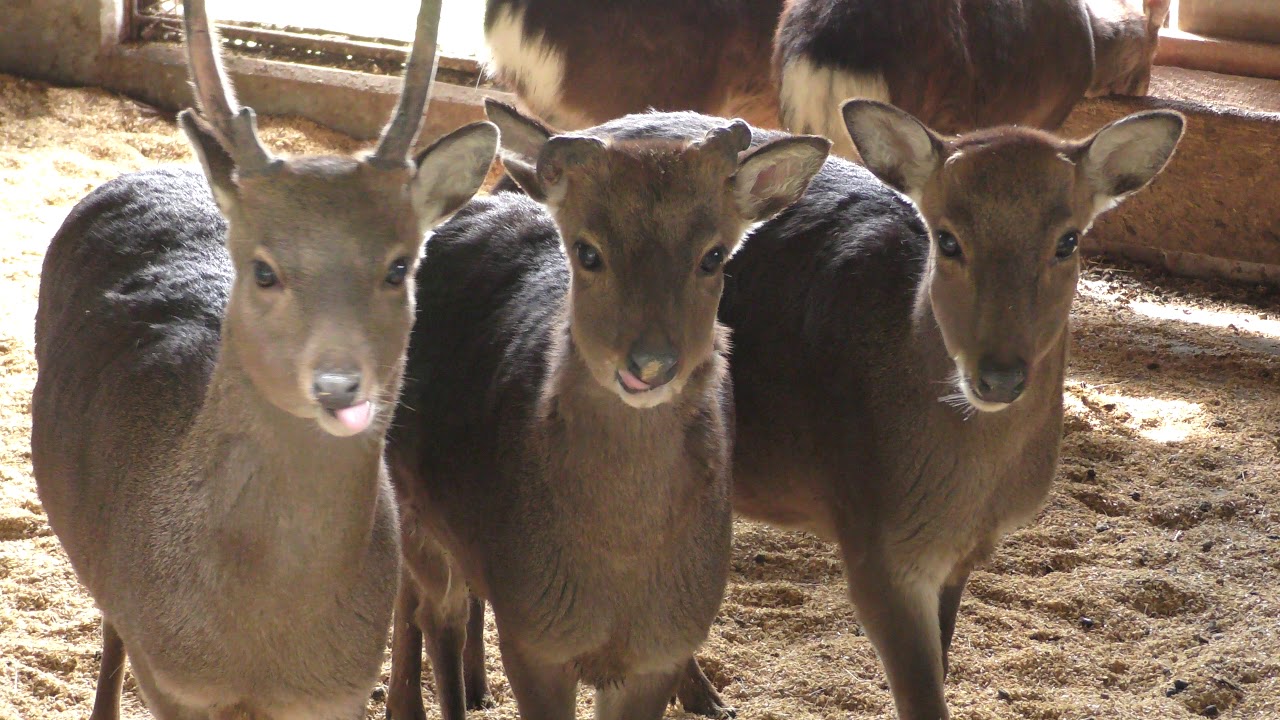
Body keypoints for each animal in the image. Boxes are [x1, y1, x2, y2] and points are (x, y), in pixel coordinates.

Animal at [28, 0, 498, 717]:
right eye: (264, 270)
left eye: (399, 267)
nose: (339, 382)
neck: (260, 647)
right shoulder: (173, 679)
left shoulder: (337, 691)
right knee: (111, 627)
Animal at [381, 99, 828, 720]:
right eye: (588, 252)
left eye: (713, 255)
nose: (651, 363)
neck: (618, 568)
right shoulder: (533, 635)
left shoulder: (661, 648)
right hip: (415, 502)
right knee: (433, 608)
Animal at [469, 102, 1184, 718]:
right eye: (947, 239)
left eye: (1068, 240)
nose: (1000, 374)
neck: (964, 486)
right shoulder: (875, 538)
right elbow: (922, 695)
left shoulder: (962, 554)